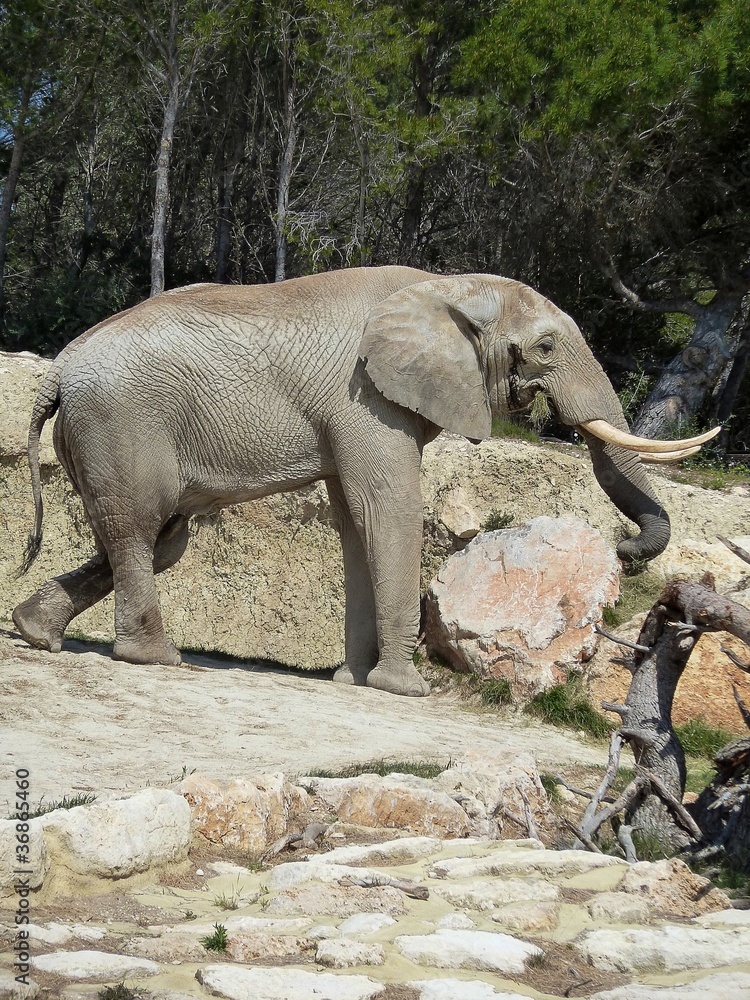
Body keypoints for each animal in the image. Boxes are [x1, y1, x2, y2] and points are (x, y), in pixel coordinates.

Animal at [13, 265, 717, 696]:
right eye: (545, 348)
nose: (625, 550)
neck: (449, 286)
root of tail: (57, 370)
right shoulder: (366, 399)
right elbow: (387, 510)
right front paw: (404, 688)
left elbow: (356, 523)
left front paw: (353, 683)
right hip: (121, 423)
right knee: (140, 529)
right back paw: (155, 658)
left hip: (97, 432)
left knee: (156, 537)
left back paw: (35, 631)